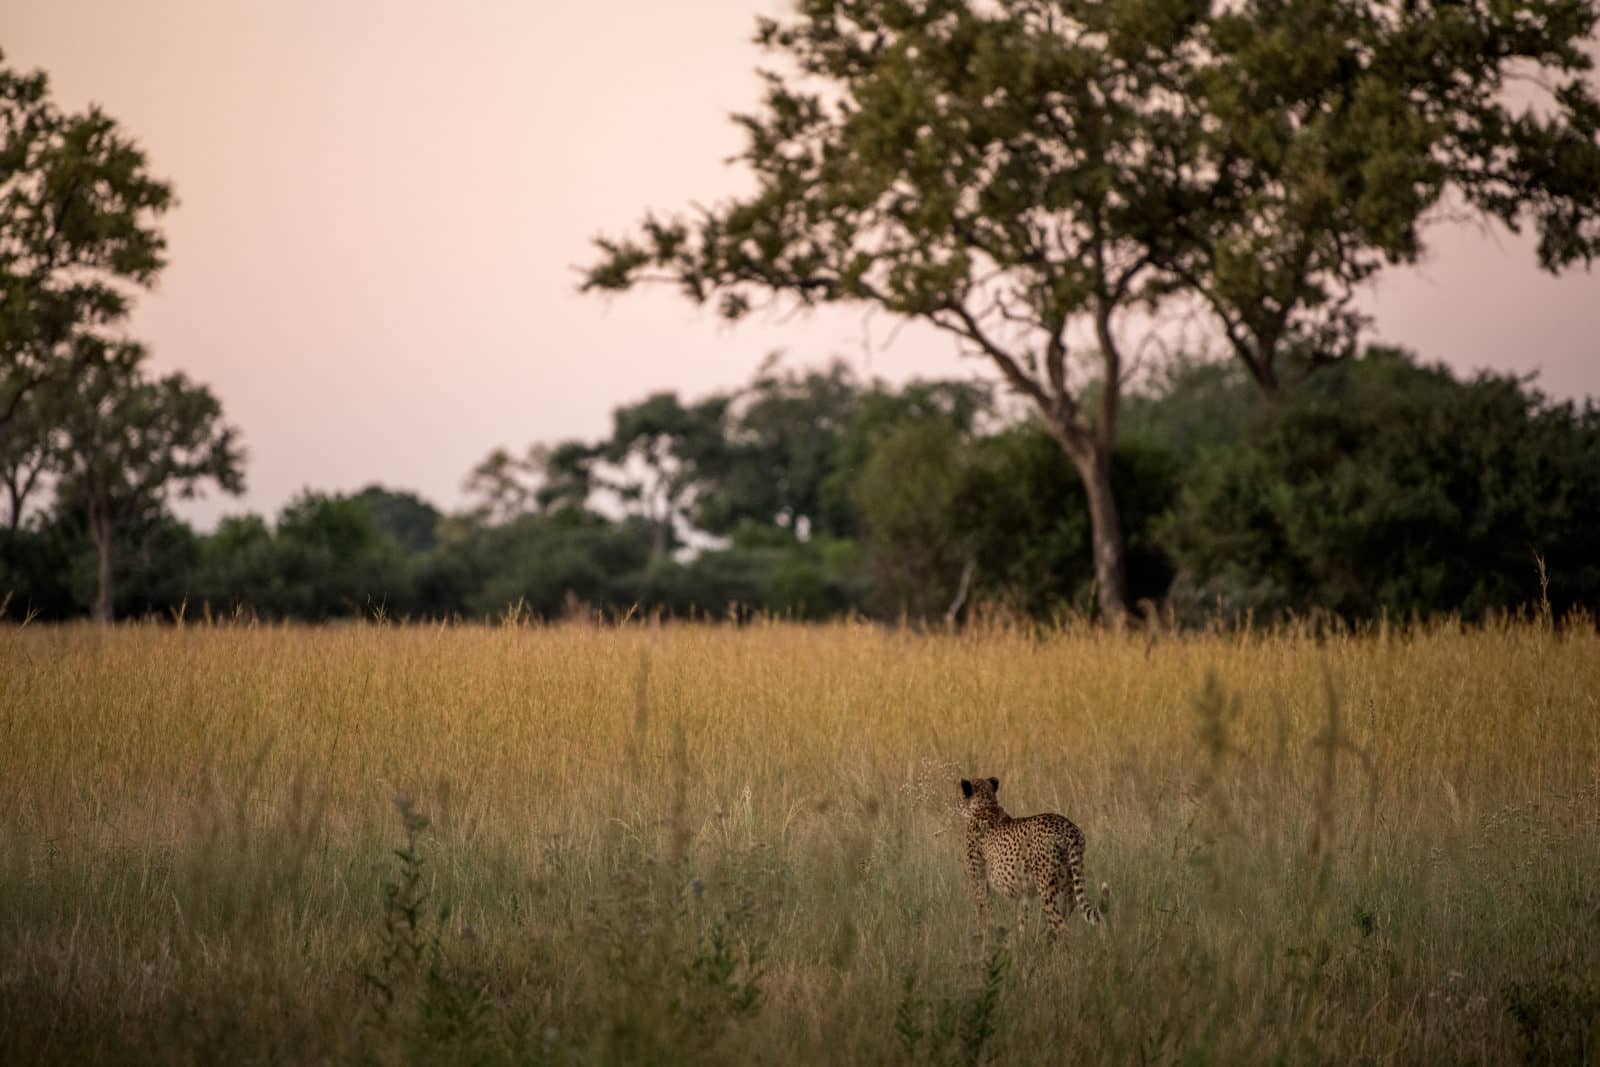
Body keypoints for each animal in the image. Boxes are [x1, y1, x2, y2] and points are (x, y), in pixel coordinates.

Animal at [959, 775, 1102, 941]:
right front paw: (1021, 941)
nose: (957, 804)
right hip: (1068, 883)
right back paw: (1047, 938)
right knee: (1067, 909)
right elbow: (1022, 918)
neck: (985, 806)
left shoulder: (980, 883)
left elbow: (984, 914)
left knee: (1061, 926)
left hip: (1046, 889)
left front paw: (986, 939)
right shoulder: (1024, 893)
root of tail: (1067, 826)